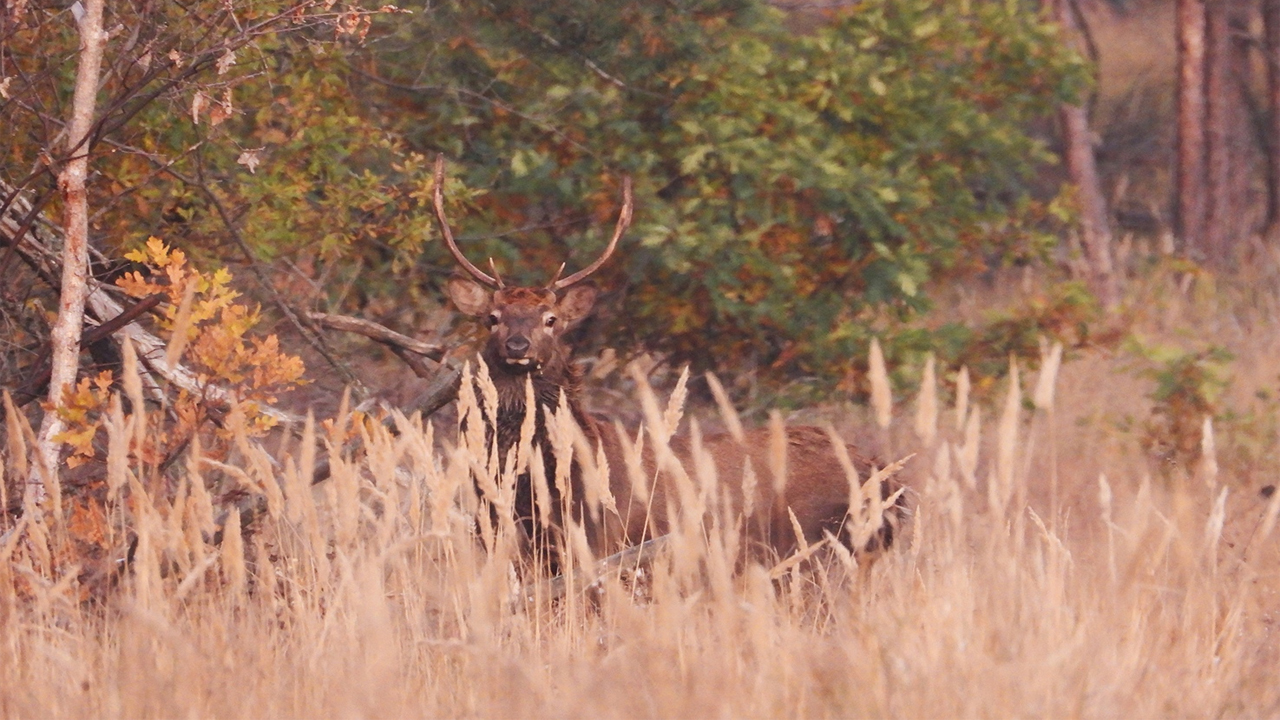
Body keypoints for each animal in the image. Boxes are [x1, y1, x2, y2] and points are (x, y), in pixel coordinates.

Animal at [432, 155, 911, 571]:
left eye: (551, 320)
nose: (517, 344)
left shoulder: (604, 541)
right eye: (492, 317)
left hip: (822, 546)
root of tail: (887, 479)